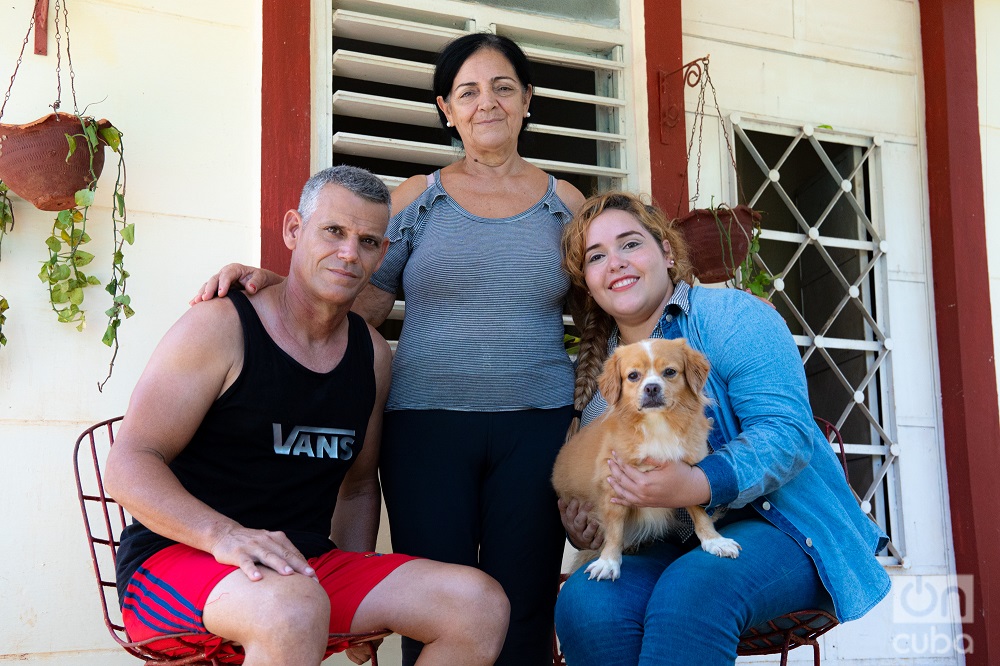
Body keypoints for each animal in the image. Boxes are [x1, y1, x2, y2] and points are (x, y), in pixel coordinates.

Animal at [552, 334, 740, 580]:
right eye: (633, 376)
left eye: (670, 372)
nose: (651, 388)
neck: (657, 424)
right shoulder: (612, 486)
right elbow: (614, 529)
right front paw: (609, 561)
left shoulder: (689, 475)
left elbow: (700, 513)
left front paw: (714, 540)